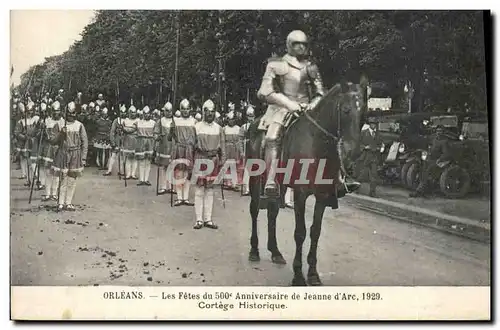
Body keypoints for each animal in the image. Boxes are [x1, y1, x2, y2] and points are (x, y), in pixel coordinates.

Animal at [247, 78, 368, 286]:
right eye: (345, 110)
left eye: (364, 112)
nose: (352, 152)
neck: (317, 144)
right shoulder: (301, 194)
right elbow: (300, 232)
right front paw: (298, 275)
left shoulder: (322, 195)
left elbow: (315, 232)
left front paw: (312, 274)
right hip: (255, 180)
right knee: (255, 209)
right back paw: (254, 250)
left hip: (279, 186)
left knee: (272, 212)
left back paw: (275, 252)